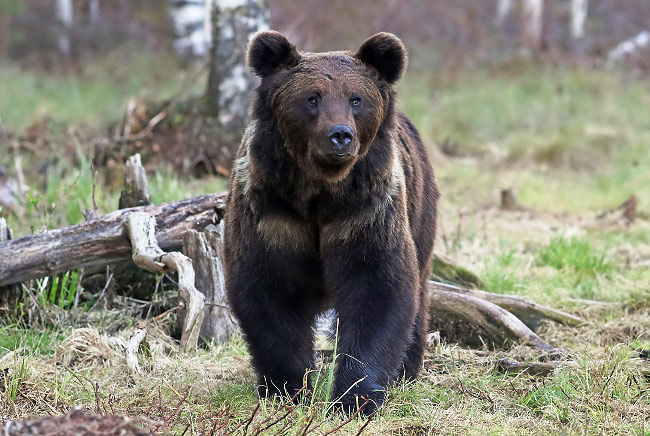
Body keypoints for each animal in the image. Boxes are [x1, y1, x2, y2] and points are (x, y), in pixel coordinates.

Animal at [224, 31, 440, 416]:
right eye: (312, 98)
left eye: (356, 99)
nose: (340, 135)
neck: (319, 195)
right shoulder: (273, 215)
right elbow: (270, 289)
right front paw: (289, 389)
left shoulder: (364, 213)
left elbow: (377, 287)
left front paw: (355, 397)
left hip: (420, 211)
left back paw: (405, 369)